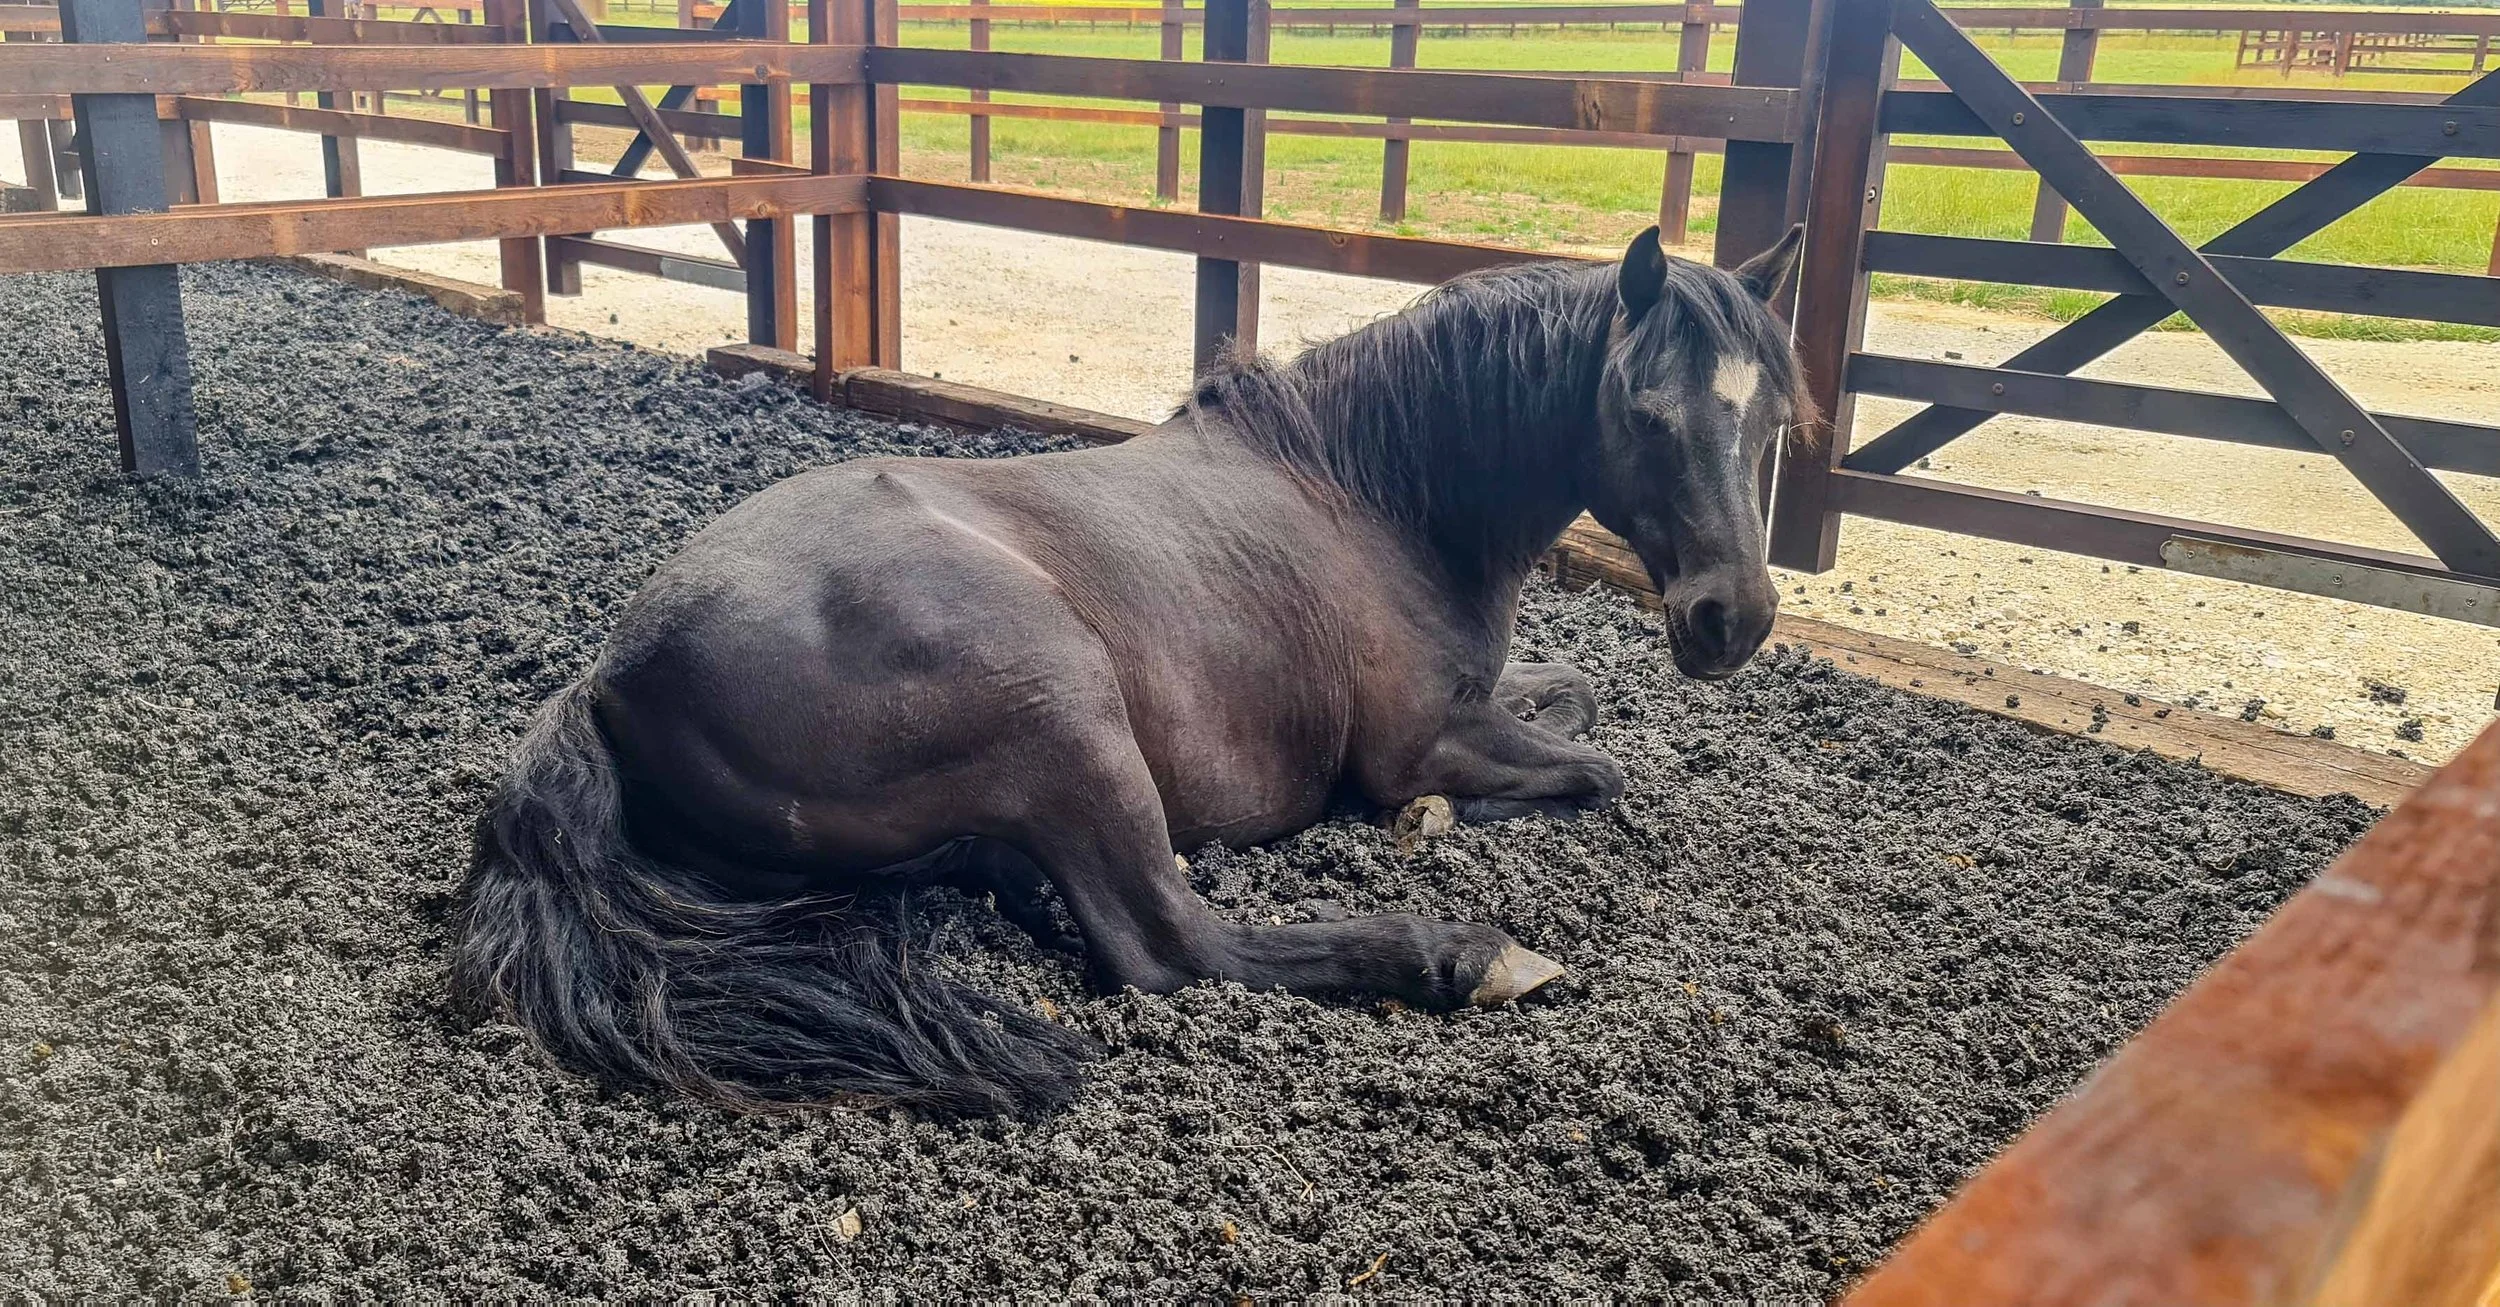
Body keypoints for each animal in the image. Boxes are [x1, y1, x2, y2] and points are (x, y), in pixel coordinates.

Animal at [451, 223, 1811, 1116]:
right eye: (1644, 413)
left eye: (1772, 420)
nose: (1731, 616)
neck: (1368, 493)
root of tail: (615, 673)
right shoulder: (1415, 738)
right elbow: (1596, 769)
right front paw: (1438, 824)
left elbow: (1577, 700)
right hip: (1065, 713)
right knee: (1168, 941)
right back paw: (1459, 954)